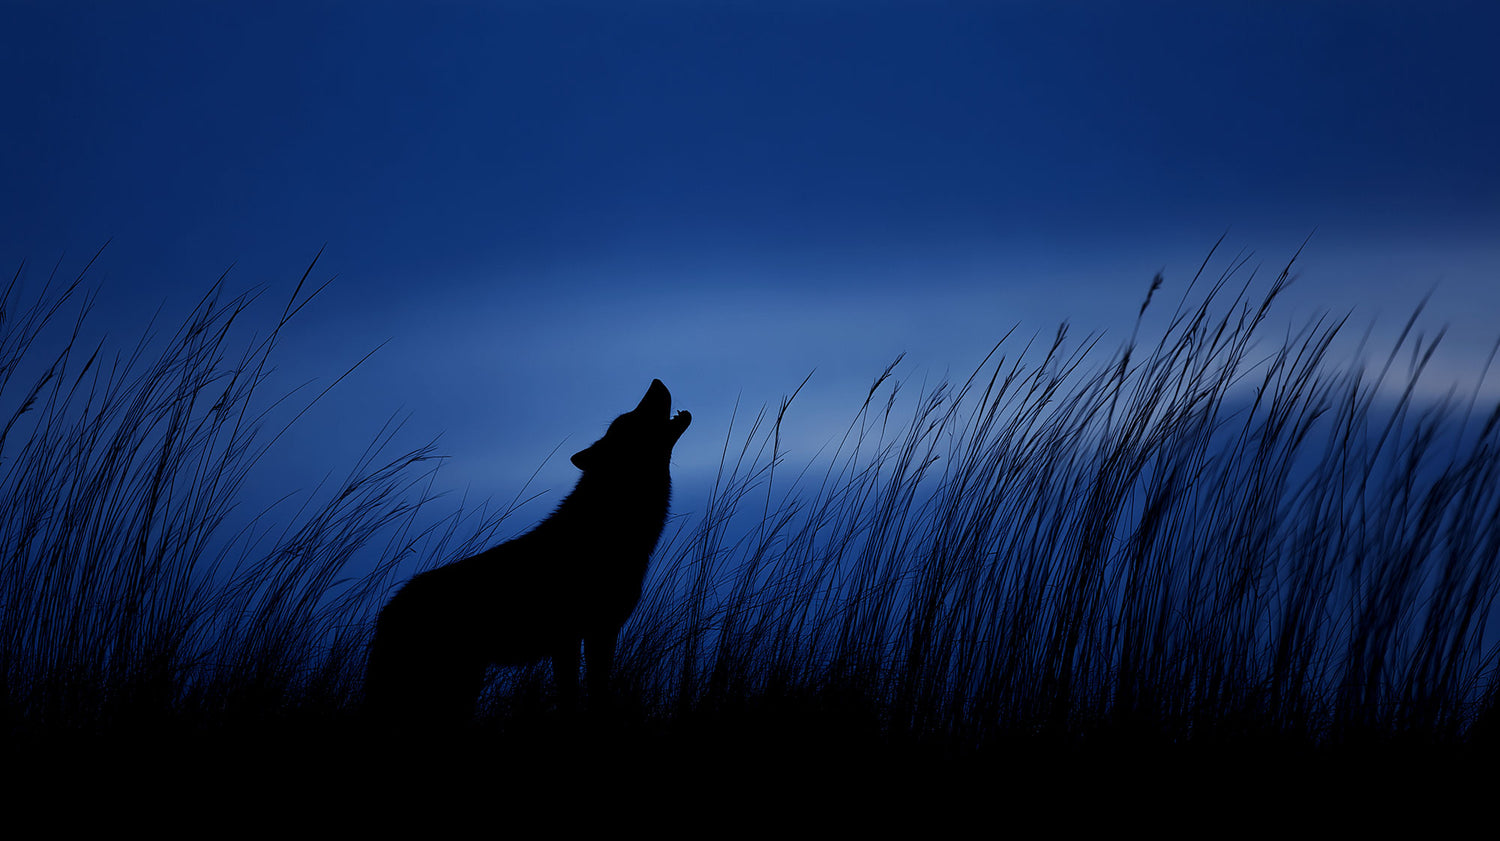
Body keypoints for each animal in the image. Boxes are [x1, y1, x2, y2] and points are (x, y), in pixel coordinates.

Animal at [365, 379, 691, 725]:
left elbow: (593, 694)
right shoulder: (573, 637)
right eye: (628, 420)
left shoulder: (598, 633)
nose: (656, 382)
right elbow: (574, 697)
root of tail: (387, 611)